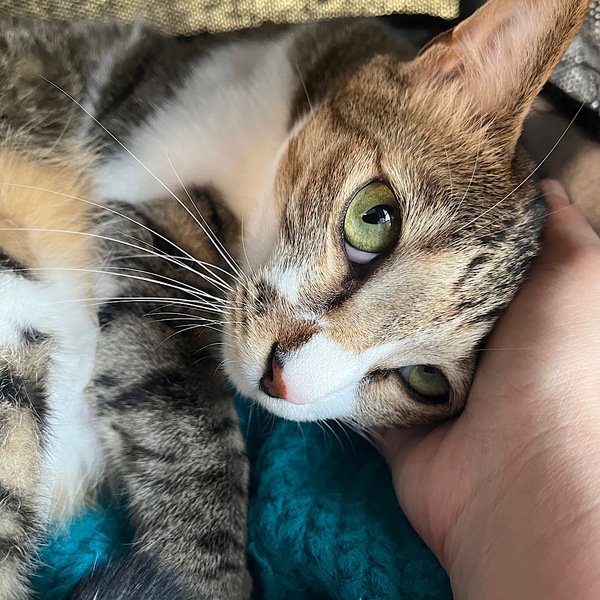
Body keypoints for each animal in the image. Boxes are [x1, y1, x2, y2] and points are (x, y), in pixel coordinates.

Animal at [0, 0, 589, 598]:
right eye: (373, 217)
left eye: (426, 381)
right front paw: (201, 577)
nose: (281, 380)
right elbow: (186, 417)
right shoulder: (135, 210)